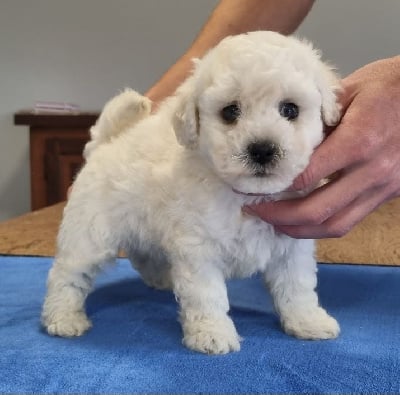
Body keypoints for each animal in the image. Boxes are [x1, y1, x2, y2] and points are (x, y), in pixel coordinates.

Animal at [41, 31, 340, 356]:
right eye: (230, 112)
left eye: (290, 110)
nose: (262, 149)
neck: (246, 196)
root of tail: (106, 144)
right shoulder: (199, 249)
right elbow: (207, 295)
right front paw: (212, 334)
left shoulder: (291, 246)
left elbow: (297, 287)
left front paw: (308, 321)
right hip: (89, 233)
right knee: (67, 274)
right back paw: (63, 317)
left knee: (143, 256)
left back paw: (162, 280)